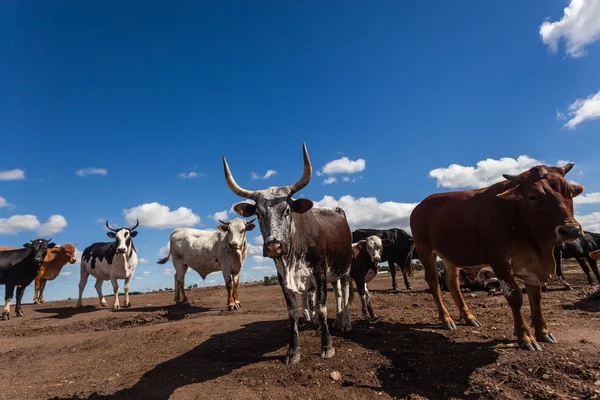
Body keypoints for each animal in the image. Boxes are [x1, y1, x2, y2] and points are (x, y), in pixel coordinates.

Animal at [221, 144, 354, 366]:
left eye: (287, 210)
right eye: (259, 214)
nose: (274, 246)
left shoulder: (319, 272)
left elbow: (322, 307)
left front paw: (327, 346)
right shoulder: (282, 276)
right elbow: (293, 311)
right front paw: (293, 351)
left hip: (344, 268)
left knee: (343, 292)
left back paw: (345, 322)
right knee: (335, 292)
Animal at [410, 162, 584, 350]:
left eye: (569, 192)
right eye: (533, 196)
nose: (571, 230)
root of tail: (419, 207)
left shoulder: (532, 264)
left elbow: (535, 297)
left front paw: (543, 331)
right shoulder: (498, 260)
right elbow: (514, 296)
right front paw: (525, 336)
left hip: (450, 255)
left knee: (453, 284)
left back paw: (468, 316)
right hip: (426, 251)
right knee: (434, 283)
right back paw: (446, 319)